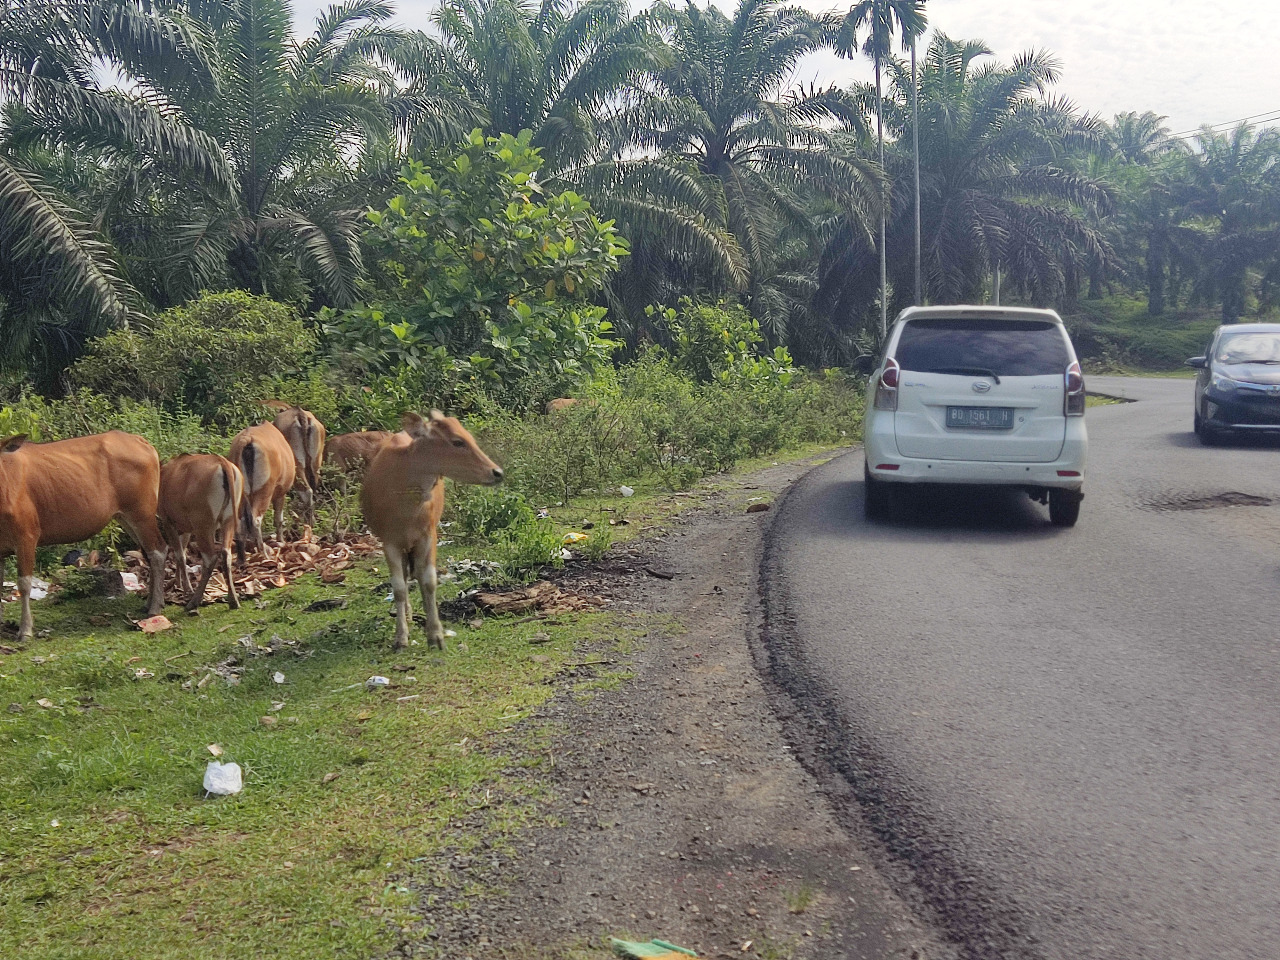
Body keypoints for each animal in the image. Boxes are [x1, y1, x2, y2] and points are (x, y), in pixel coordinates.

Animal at [0, 432, 167, 642]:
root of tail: (139, 440)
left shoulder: (26, 538)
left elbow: (24, 585)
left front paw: (25, 630)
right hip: (125, 518)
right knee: (149, 554)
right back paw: (149, 603)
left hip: (142, 514)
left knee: (158, 551)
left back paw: (155, 607)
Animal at [159, 453, 244, 616]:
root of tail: (222, 462)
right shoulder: (186, 528)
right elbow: (182, 553)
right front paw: (178, 583)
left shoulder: (168, 522)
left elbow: (180, 554)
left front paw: (186, 588)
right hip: (227, 520)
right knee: (226, 553)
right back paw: (233, 600)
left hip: (203, 527)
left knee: (210, 559)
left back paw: (193, 602)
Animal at [227, 422, 294, 563]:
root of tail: (247, 440)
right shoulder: (280, 493)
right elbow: (279, 518)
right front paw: (281, 540)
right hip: (264, 492)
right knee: (256, 520)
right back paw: (263, 553)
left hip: (240, 496)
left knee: (240, 523)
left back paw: (241, 559)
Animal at [360, 409, 504, 650]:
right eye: (457, 441)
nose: (497, 472)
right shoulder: (389, 541)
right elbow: (398, 587)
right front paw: (400, 637)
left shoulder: (429, 535)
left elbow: (428, 581)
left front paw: (435, 634)